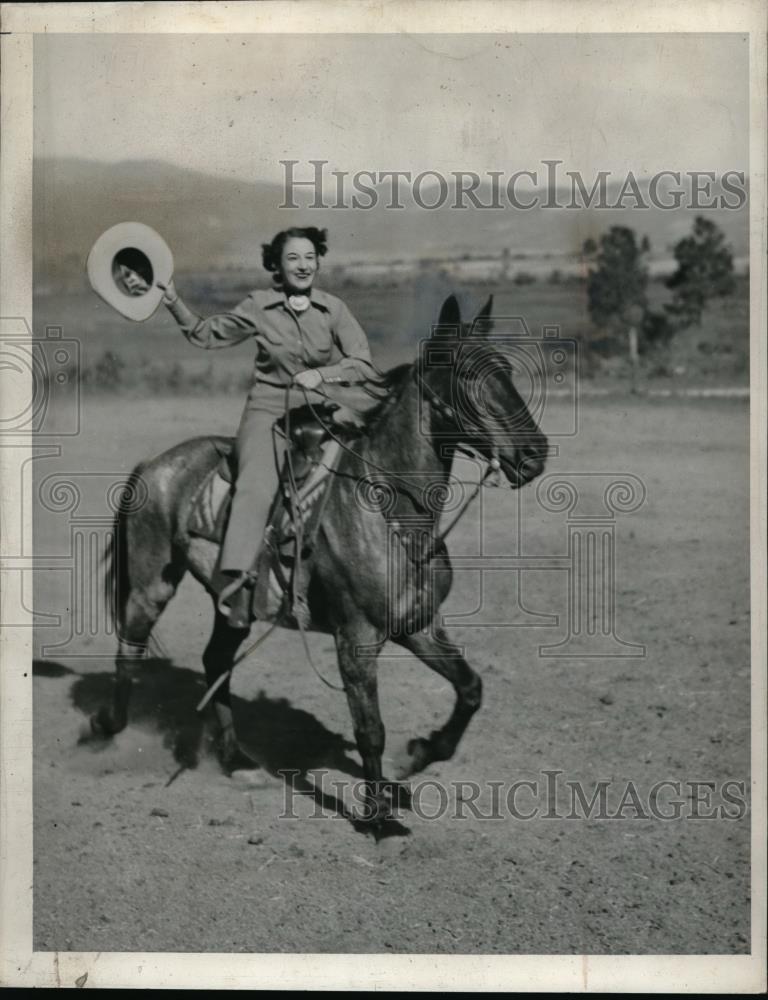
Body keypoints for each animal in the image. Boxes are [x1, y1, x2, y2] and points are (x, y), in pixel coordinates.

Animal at [93, 294, 544, 828]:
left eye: (505, 370)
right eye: (467, 376)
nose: (535, 454)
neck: (390, 511)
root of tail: (154, 464)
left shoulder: (419, 625)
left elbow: (471, 689)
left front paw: (417, 756)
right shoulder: (357, 640)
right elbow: (370, 727)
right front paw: (377, 816)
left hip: (233, 603)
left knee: (215, 660)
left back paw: (236, 759)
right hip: (151, 586)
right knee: (129, 653)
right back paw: (106, 729)